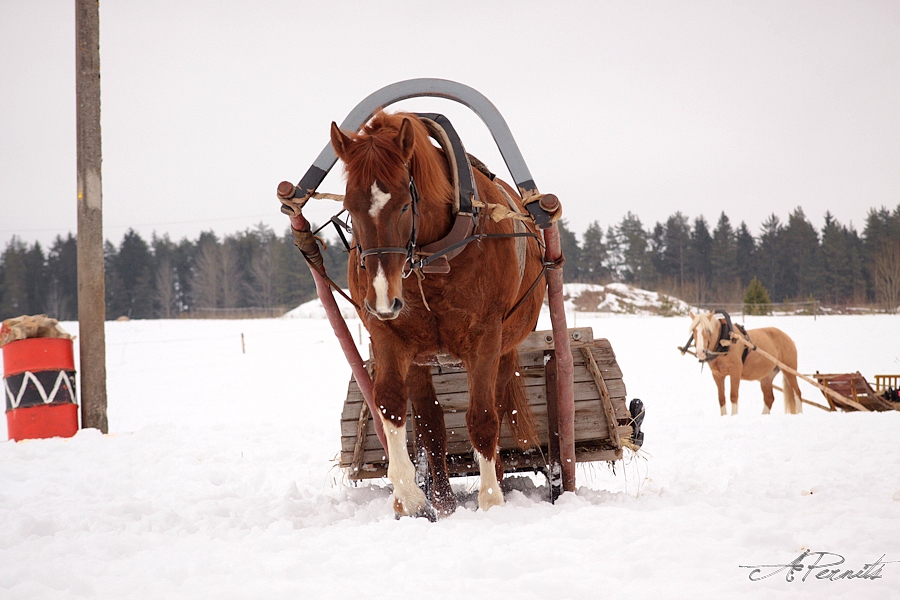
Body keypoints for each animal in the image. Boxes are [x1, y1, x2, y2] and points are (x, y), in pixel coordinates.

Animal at [330, 111, 545, 517]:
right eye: (349, 205)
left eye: (403, 204)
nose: (383, 299)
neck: (433, 261)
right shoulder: (389, 336)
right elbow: (393, 407)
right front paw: (410, 497)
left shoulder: (485, 338)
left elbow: (482, 418)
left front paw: (491, 501)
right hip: (420, 357)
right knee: (431, 420)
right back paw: (443, 500)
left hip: (506, 347)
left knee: (495, 405)